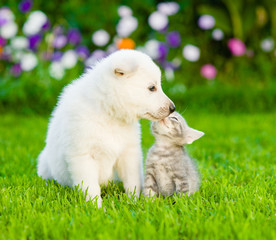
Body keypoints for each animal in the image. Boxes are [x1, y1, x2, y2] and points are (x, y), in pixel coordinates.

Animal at [37, 49, 175, 206]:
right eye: (152, 88)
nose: (173, 108)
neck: (108, 114)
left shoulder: (129, 153)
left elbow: (132, 180)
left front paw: (134, 201)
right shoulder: (83, 156)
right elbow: (90, 186)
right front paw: (96, 207)